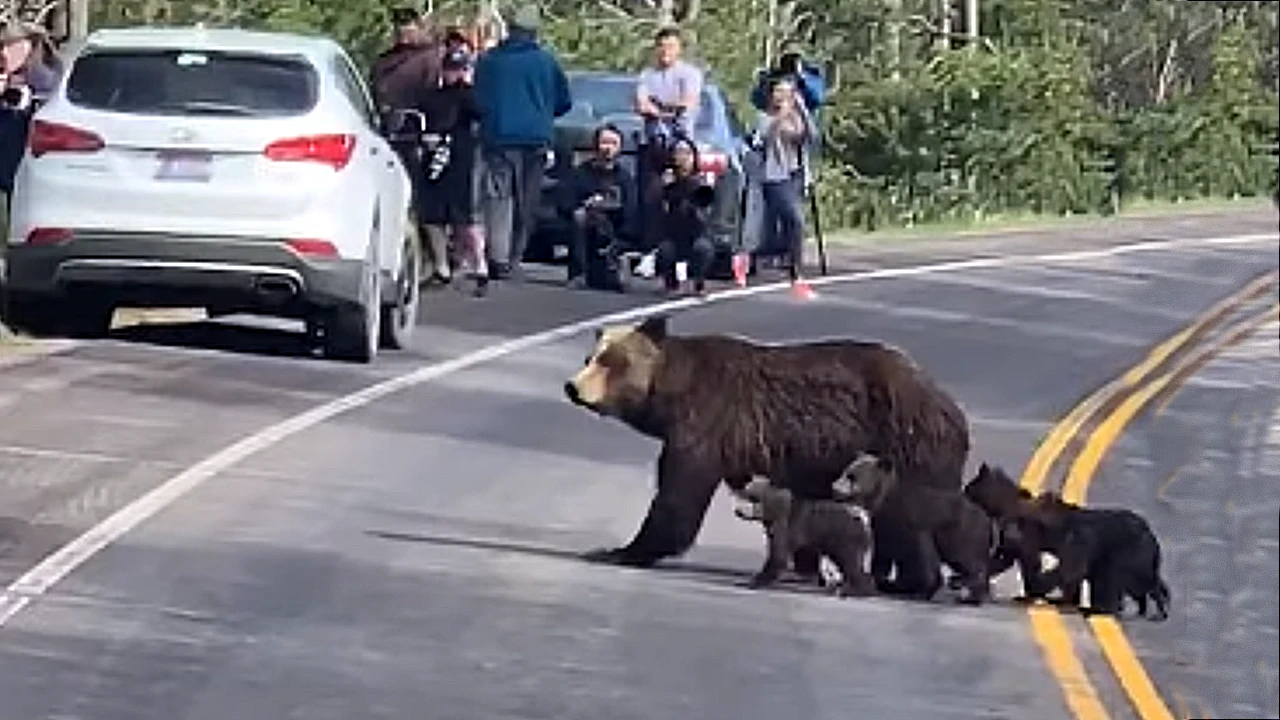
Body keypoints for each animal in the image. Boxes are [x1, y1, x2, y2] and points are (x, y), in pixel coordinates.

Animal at [563, 313, 967, 571]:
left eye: (611, 361)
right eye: (589, 357)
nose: (572, 387)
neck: (671, 395)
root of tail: (949, 404)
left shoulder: (707, 423)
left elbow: (678, 494)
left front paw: (621, 550)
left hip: (910, 447)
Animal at [737, 476, 875, 594]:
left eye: (753, 498)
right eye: (743, 495)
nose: (738, 511)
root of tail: (863, 517)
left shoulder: (785, 525)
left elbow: (778, 555)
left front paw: (757, 581)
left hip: (847, 537)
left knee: (851, 562)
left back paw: (854, 590)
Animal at [844, 453, 993, 599]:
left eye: (852, 477)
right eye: (847, 472)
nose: (838, 490)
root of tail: (986, 517)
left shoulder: (911, 523)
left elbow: (921, 559)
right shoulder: (882, 528)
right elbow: (882, 557)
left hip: (960, 532)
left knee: (967, 560)